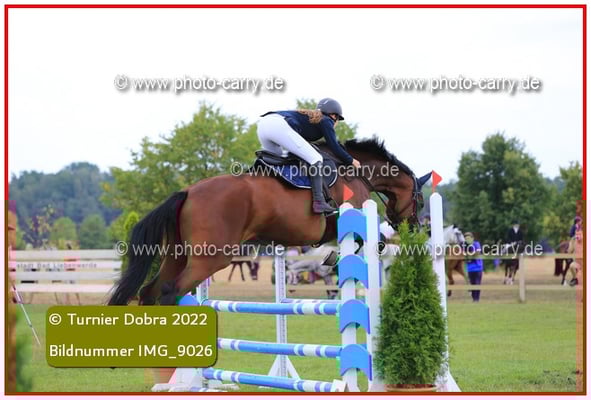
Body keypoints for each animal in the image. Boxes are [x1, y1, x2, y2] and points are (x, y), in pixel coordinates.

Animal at [108, 137, 430, 305]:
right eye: (420, 200)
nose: (416, 228)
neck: (356, 171)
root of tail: (187, 192)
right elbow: (377, 242)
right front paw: (332, 260)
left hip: (177, 255)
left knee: (150, 291)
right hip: (209, 259)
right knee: (169, 291)